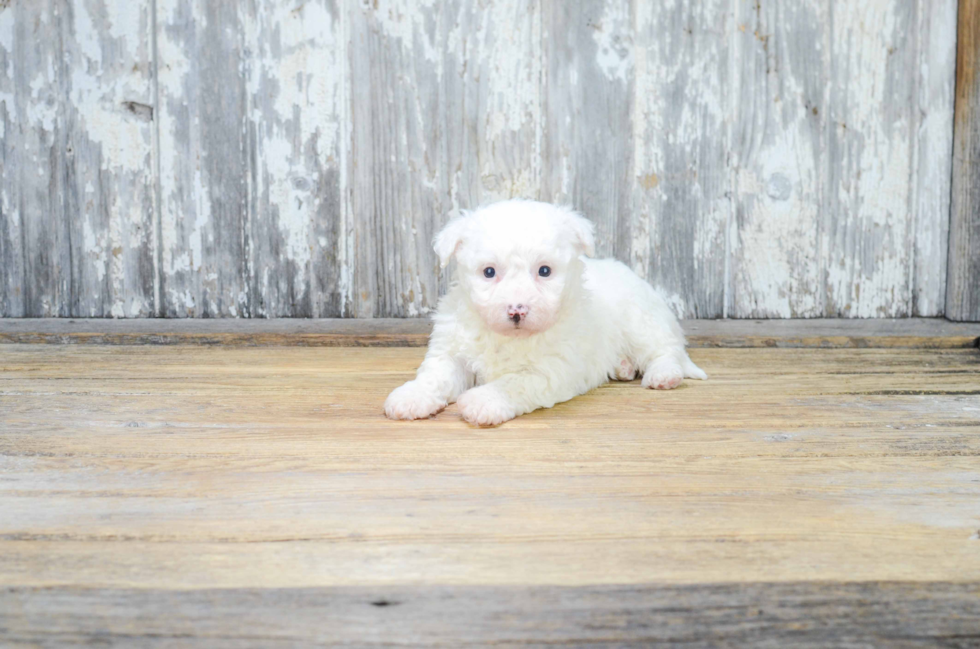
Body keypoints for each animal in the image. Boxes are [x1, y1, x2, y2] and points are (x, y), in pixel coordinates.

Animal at [382, 200, 704, 428]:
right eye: (489, 272)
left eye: (545, 271)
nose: (517, 310)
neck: (507, 338)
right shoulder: (452, 352)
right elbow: (436, 375)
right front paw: (412, 396)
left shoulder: (550, 369)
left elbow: (513, 383)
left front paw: (484, 400)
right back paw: (623, 367)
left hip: (642, 323)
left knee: (665, 351)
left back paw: (663, 375)